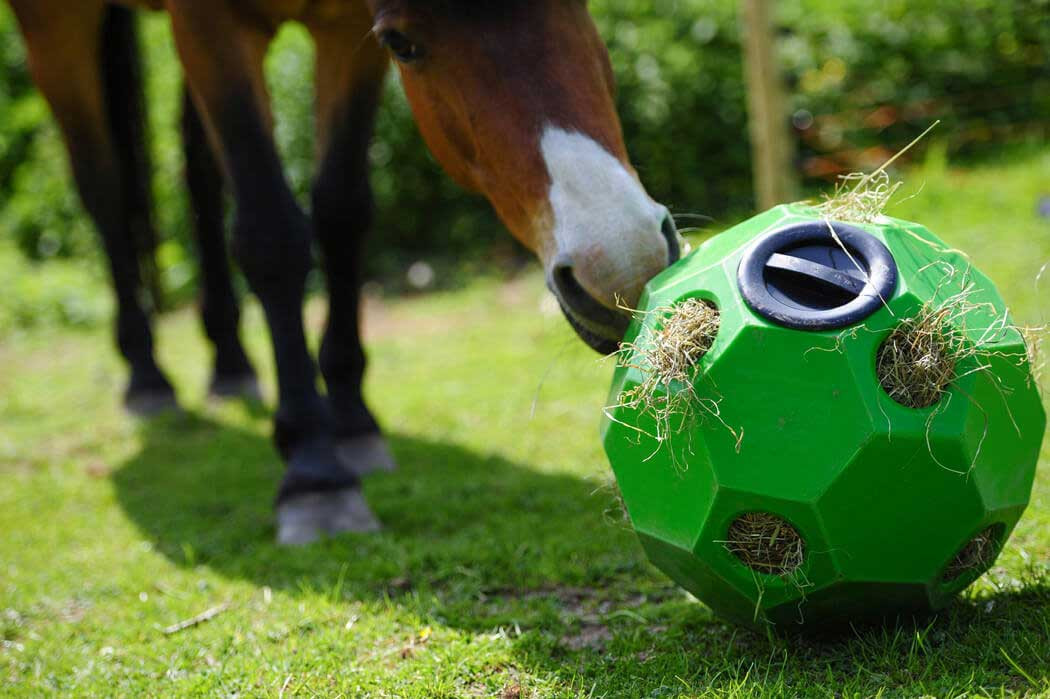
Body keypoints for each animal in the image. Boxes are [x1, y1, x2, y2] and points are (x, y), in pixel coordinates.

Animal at [6, 0, 681, 544]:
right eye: (403, 43)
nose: (623, 267)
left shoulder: (343, 34)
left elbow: (341, 210)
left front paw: (353, 422)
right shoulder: (213, 26)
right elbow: (271, 233)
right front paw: (314, 471)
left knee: (197, 169)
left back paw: (231, 364)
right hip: (54, 26)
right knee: (103, 190)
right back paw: (147, 377)